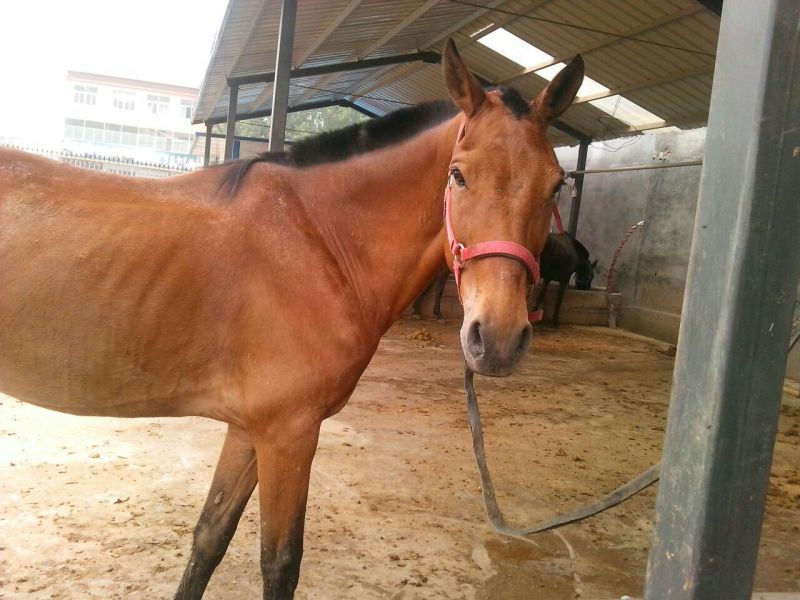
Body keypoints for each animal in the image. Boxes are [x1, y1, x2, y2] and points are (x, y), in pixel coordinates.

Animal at [0, 40, 584, 599]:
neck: (318, 239)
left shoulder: (248, 431)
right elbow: (279, 563)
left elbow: (209, 537)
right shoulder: (289, 434)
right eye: (458, 176)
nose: (499, 338)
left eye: (556, 186)